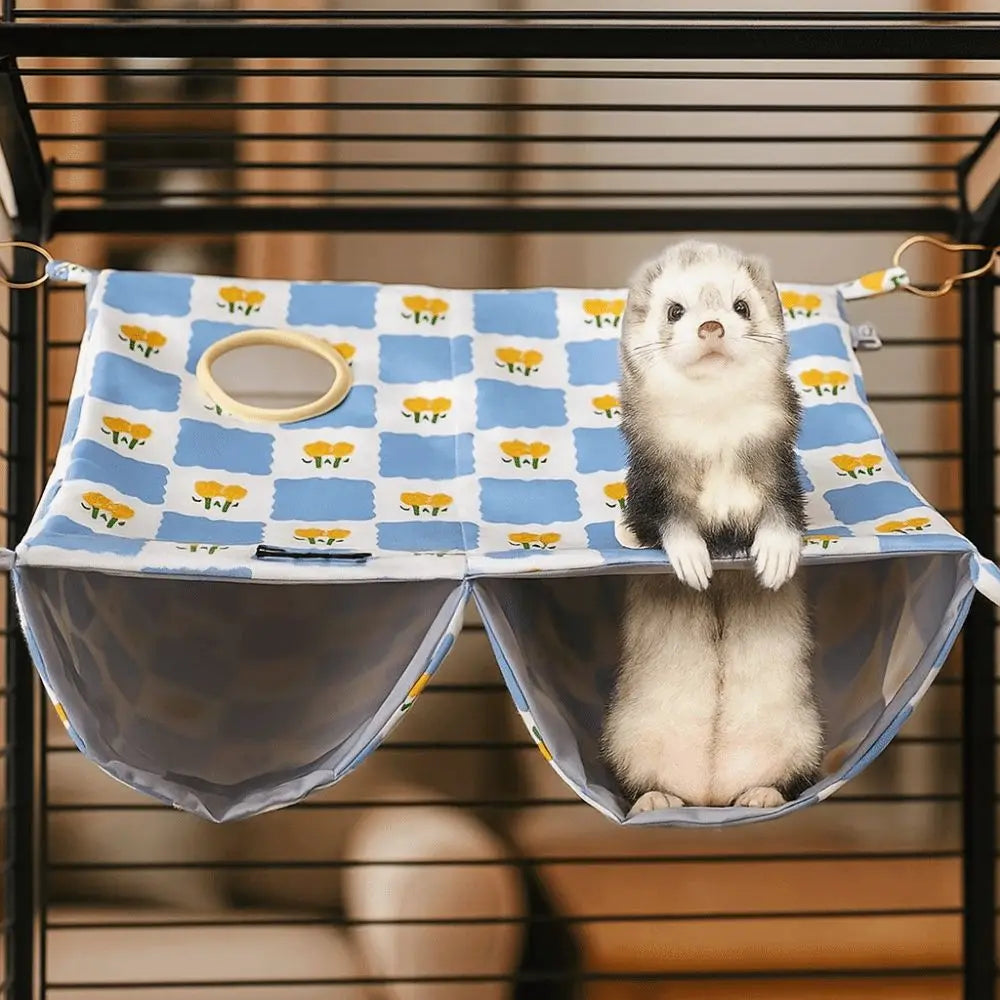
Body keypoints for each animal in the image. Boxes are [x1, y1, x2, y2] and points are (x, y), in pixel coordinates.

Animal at [603, 240, 822, 814]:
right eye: (675, 309)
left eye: (740, 305)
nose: (711, 325)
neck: (715, 435)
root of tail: (710, 790)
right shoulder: (651, 484)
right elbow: (660, 523)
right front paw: (690, 556)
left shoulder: (778, 471)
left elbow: (784, 512)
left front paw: (775, 553)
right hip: (623, 738)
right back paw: (656, 800)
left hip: (804, 735)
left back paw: (761, 794)